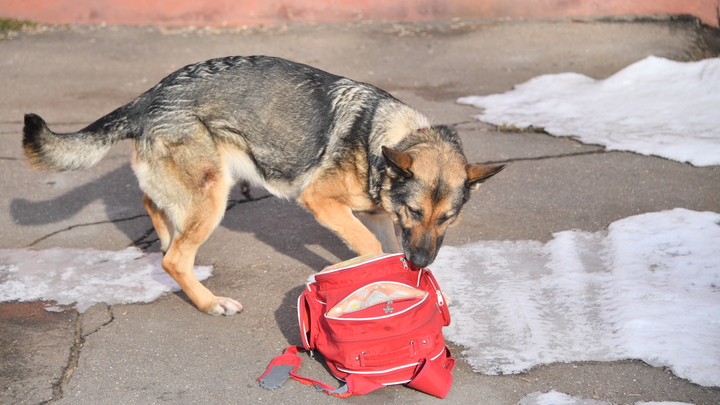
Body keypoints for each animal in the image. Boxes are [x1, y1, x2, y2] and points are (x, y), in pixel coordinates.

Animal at [23, 56, 506, 316]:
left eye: (447, 219)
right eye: (415, 212)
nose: (422, 261)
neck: (383, 137)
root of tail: (148, 97)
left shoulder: (382, 218)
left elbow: (385, 250)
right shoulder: (322, 202)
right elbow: (370, 247)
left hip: (194, 191)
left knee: (152, 206)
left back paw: (164, 238)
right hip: (213, 196)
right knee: (174, 259)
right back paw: (208, 301)